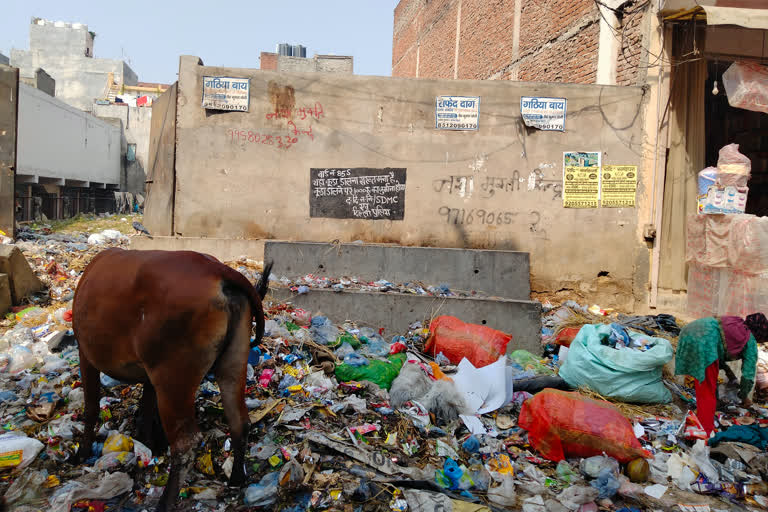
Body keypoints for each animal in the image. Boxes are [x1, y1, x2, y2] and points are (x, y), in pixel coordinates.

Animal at [70, 247, 272, 508]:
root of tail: (218, 270)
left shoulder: (85, 354)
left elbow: (91, 408)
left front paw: (82, 453)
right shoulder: (149, 373)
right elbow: (146, 407)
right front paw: (147, 440)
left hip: (173, 378)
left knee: (186, 445)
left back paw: (165, 502)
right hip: (233, 362)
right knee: (239, 422)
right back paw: (237, 478)